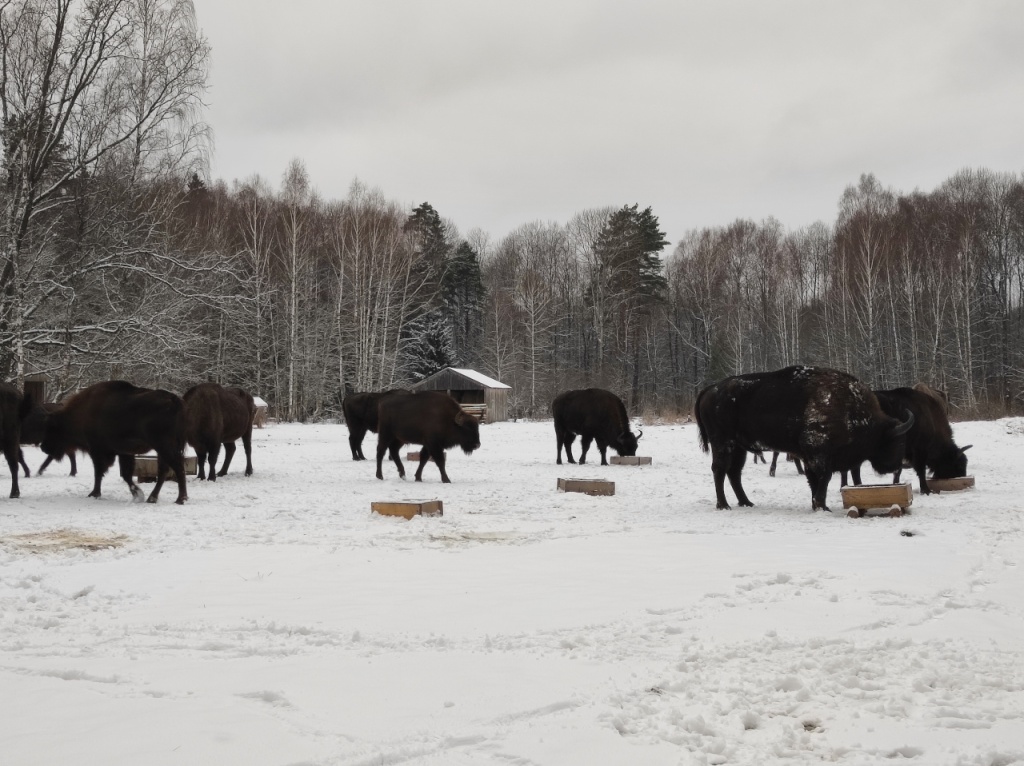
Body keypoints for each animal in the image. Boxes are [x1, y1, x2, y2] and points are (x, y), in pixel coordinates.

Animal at [39, 380, 188, 501]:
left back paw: (180, 499)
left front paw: (94, 494)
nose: (43, 447)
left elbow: (99, 472)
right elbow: (126, 474)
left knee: (177, 467)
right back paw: (152, 498)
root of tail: (173, 399)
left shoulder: (97, 451)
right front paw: (137, 493)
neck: (81, 414)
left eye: (52, 429)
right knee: (164, 470)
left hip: (163, 446)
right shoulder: (124, 452)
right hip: (162, 449)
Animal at [692, 368, 917, 512]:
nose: (897, 465)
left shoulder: (810, 457)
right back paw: (723, 505)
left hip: (739, 448)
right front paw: (822, 506)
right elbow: (823, 479)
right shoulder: (819, 455)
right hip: (723, 443)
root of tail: (710, 389)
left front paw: (817, 504)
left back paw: (746, 502)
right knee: (720, 470)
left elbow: (814, 480)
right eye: (898, 441)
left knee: (734, 473)